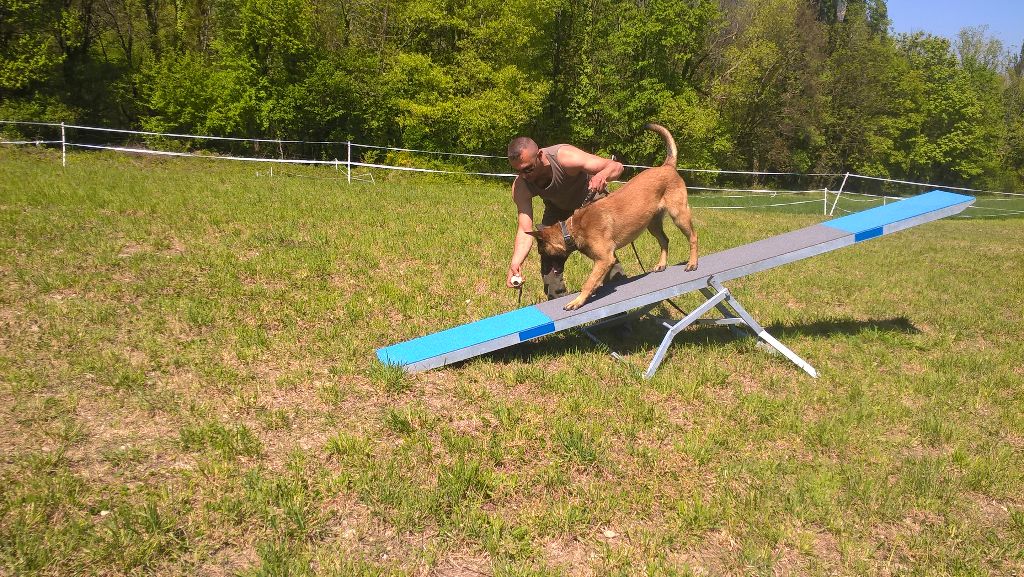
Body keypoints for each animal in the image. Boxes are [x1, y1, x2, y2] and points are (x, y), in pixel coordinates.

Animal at [528, 122, 696, 311]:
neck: (572, 228)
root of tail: (667, 166)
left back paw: (692, 263)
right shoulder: (606, 260)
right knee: (665, 240)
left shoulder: (604, 259)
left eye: (542, 251)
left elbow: (589, 282)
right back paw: (662, 264)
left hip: (679, 215)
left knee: (693, 237)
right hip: (652, 224)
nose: (545, 271)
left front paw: (577, 301)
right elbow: (598, 281)